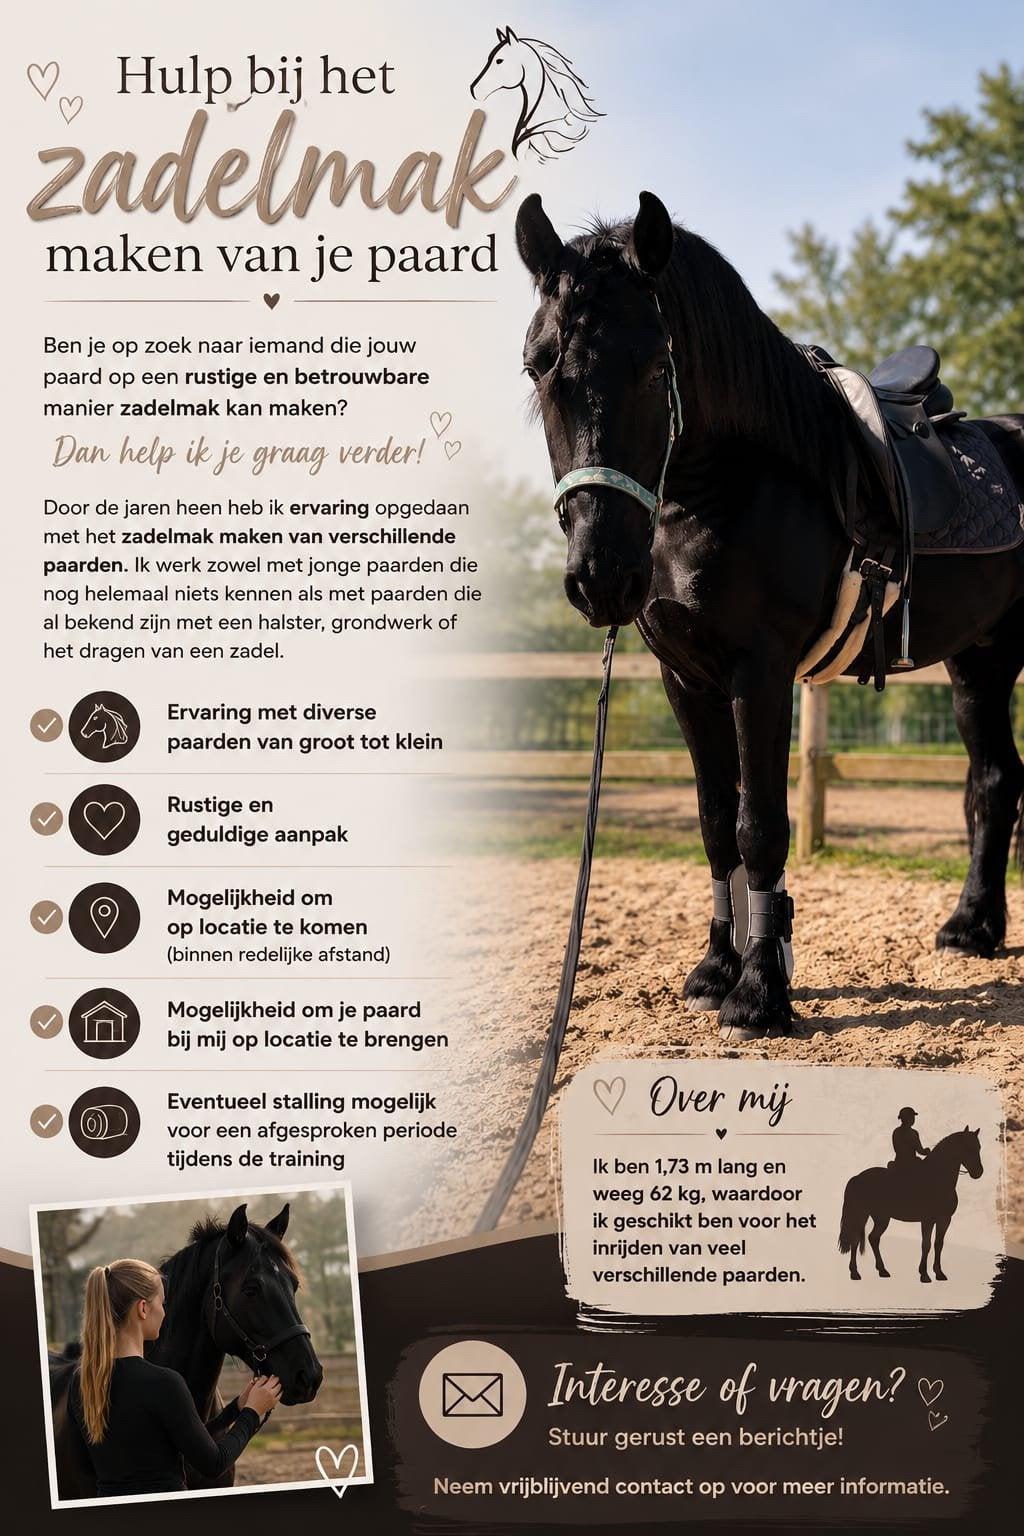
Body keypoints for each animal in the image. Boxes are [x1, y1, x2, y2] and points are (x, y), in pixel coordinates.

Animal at [514, 191, 1024, 1043]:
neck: (729, 486)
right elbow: (717, 820)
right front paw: (717, 969)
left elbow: (760, 825)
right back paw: (971, 929)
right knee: (993, 780)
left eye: (657, 365)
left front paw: (759, 992)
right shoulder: (686, 678)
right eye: (539, 365)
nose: (602, 577)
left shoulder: (762, 670)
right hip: (978, 660)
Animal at [838, 1127, 983, 1282]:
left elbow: (938, 1244)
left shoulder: (944, 1219)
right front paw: (924, 1275)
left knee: (873, 1238)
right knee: (855, 1239)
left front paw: (939, 1273)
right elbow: (926, 1245)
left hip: (881, 1217)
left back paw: (882, 1270)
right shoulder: (927, 1220)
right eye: (967, 1147)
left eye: (979, 1147)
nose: (979, 1172)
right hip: (862, 1214)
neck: (937, 1178)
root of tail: (857, 1177)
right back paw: (855, 1273)